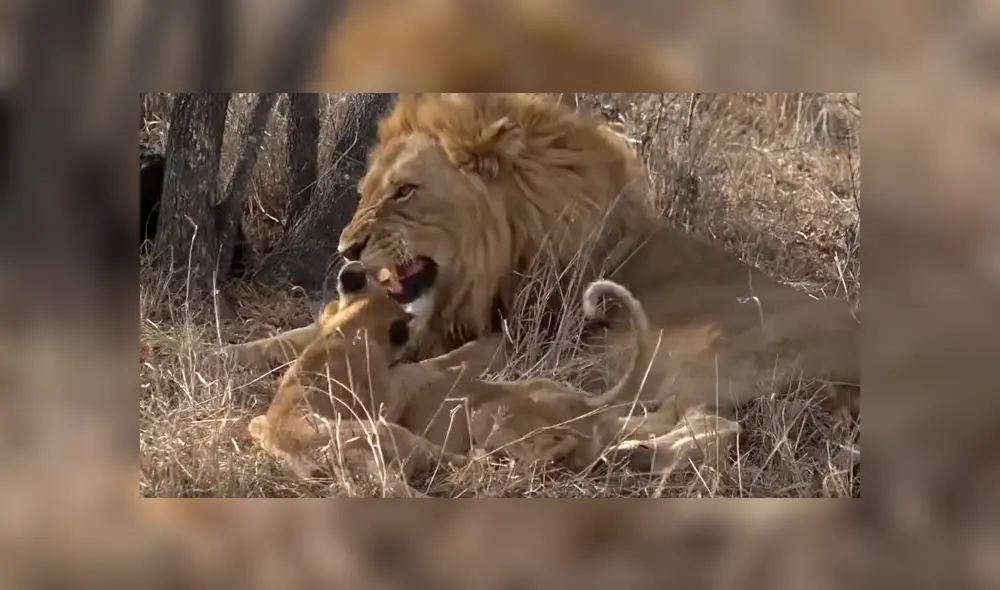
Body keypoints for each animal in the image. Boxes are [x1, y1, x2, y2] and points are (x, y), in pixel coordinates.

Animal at [330, 93, 860, 474]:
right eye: (366, 192)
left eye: (405, 191)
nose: (346, 250)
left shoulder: (535, 341)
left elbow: (442, 363)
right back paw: (632, 451)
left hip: (694, 354)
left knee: (712, 424)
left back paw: (630, 451)